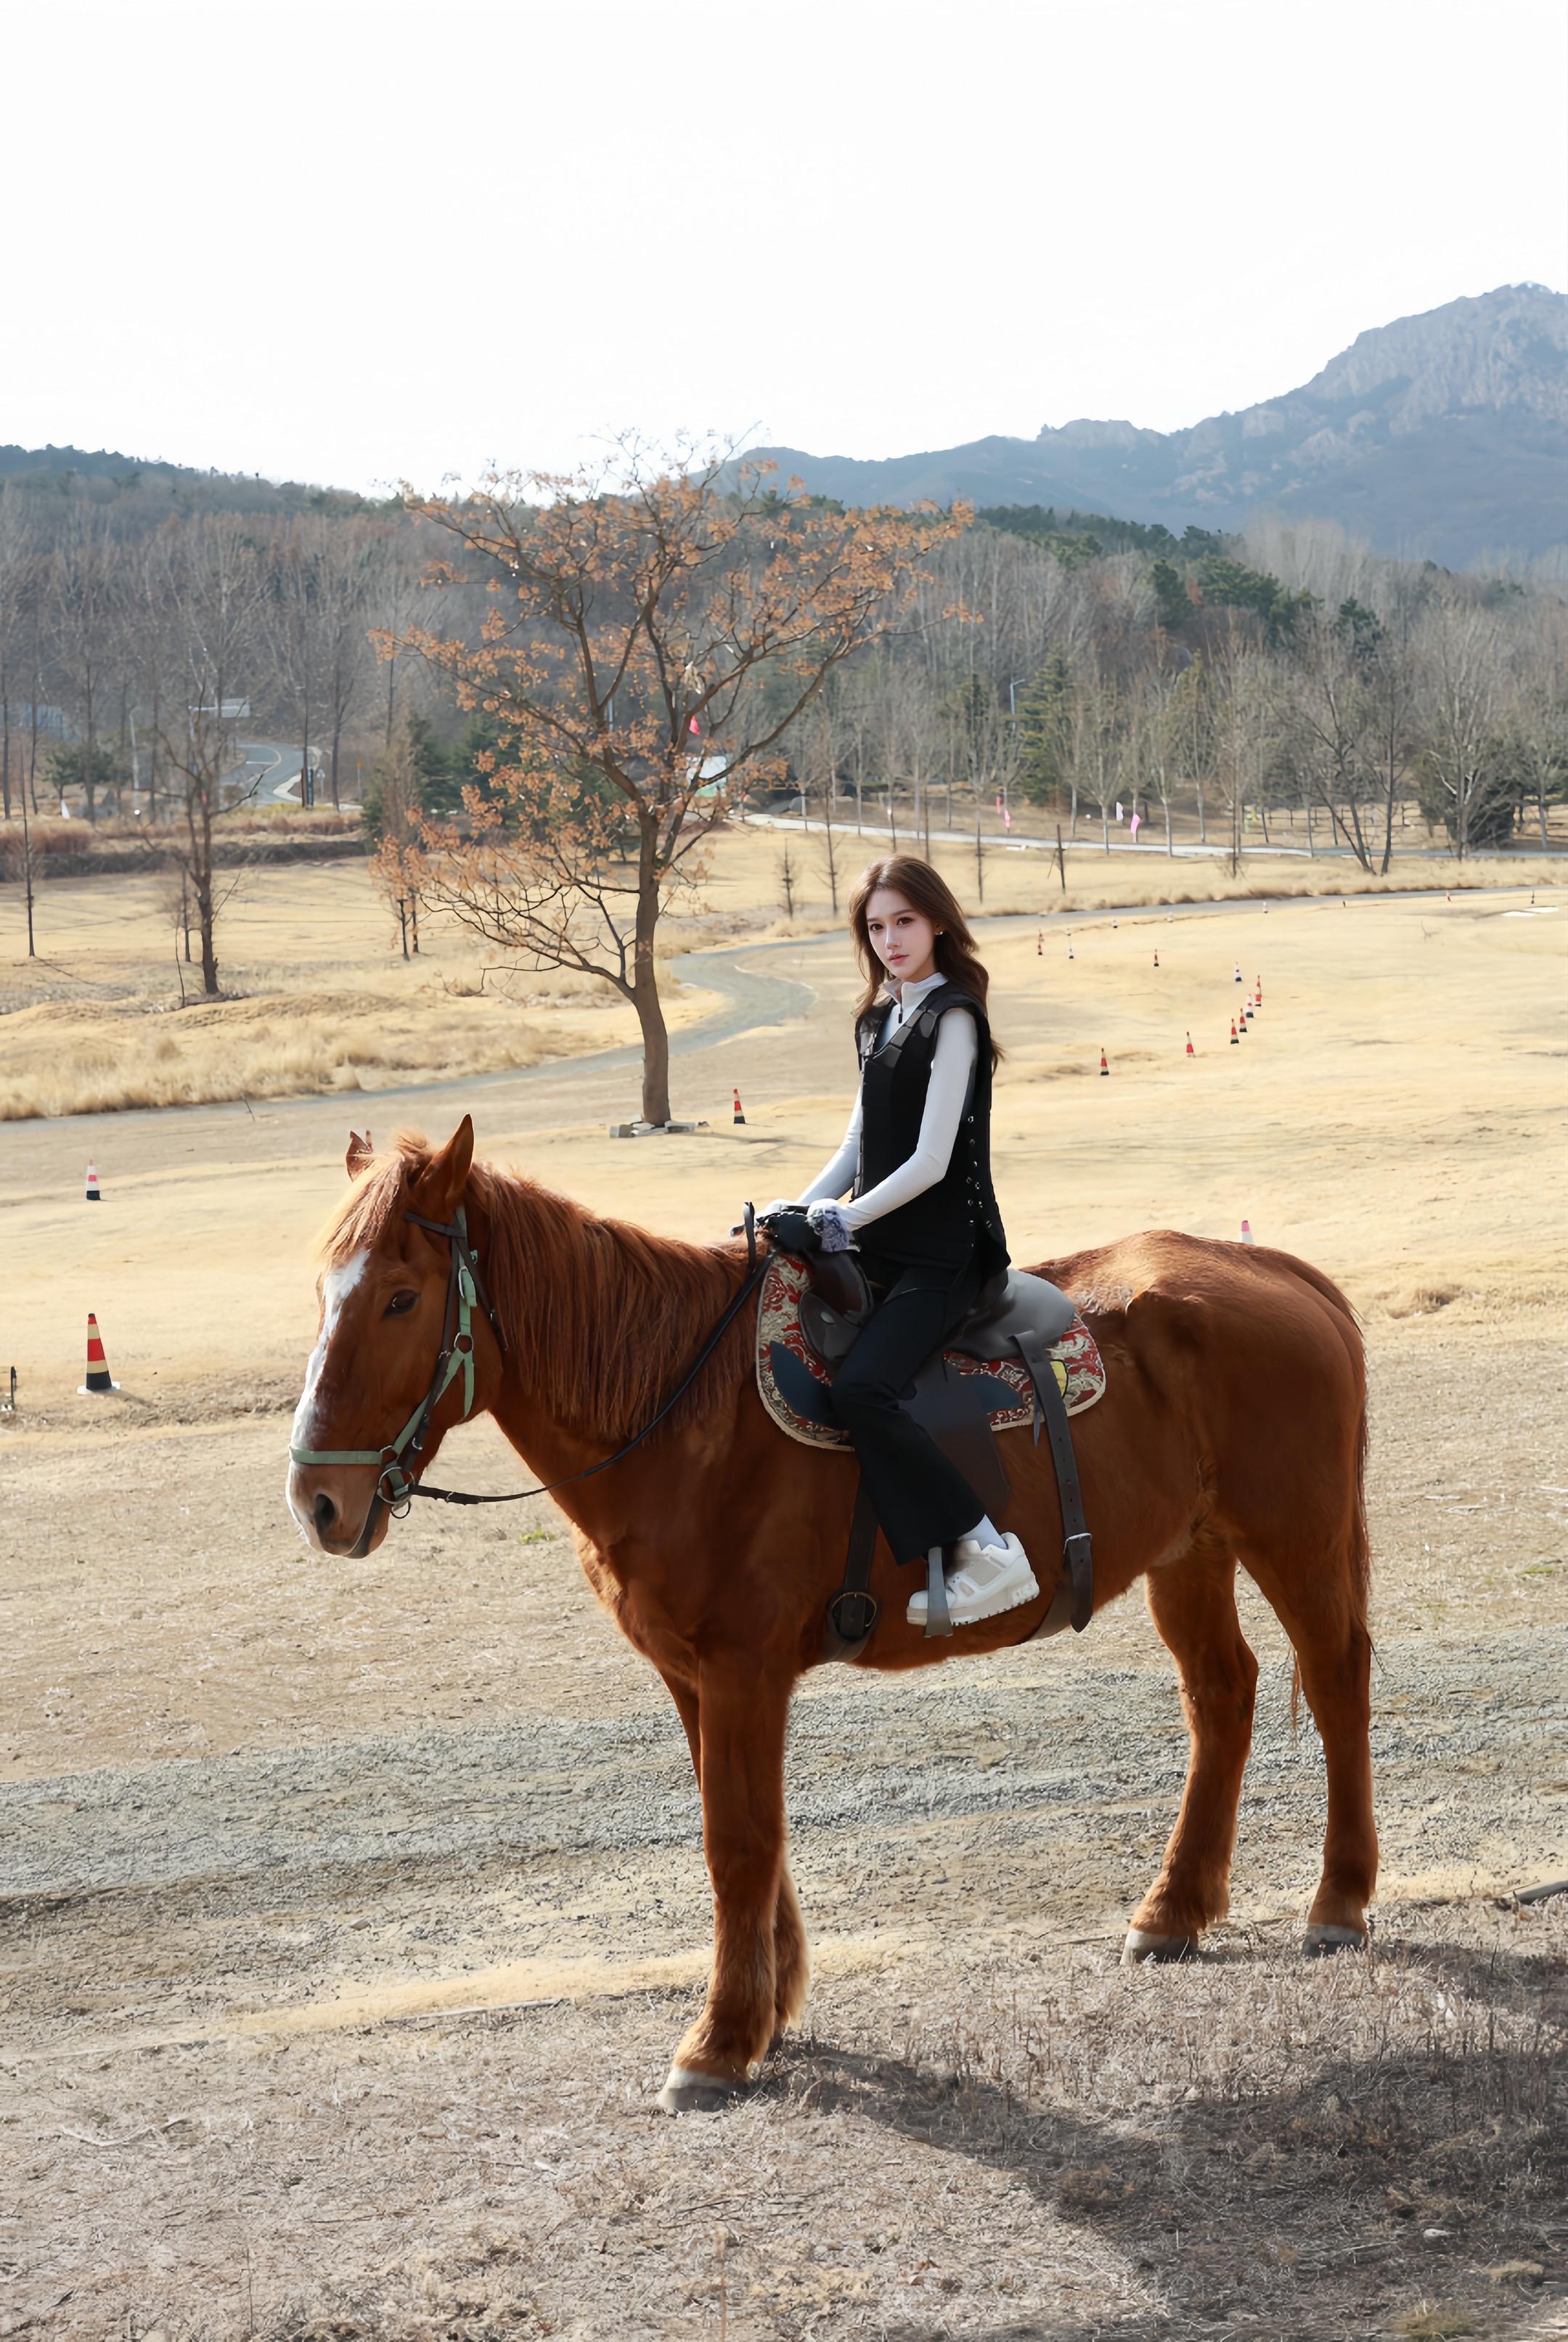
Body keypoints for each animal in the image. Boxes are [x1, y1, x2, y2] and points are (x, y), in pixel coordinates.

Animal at [287, 1115, 1376, 2113]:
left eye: (400, 1296)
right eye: (324, 1290)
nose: (317, 1501)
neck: (687, 1413)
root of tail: (1278, 1271)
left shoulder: (742, 1668)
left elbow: (737, 1843)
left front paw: (720, 2039)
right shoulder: (694, 1674)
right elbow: (746, 1835)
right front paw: (768, 2008)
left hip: (1292, 1536)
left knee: (1335, 1678)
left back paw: (1340, 1898)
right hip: (1189, 1549)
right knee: (1223, 1694)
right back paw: (1176, 1907)